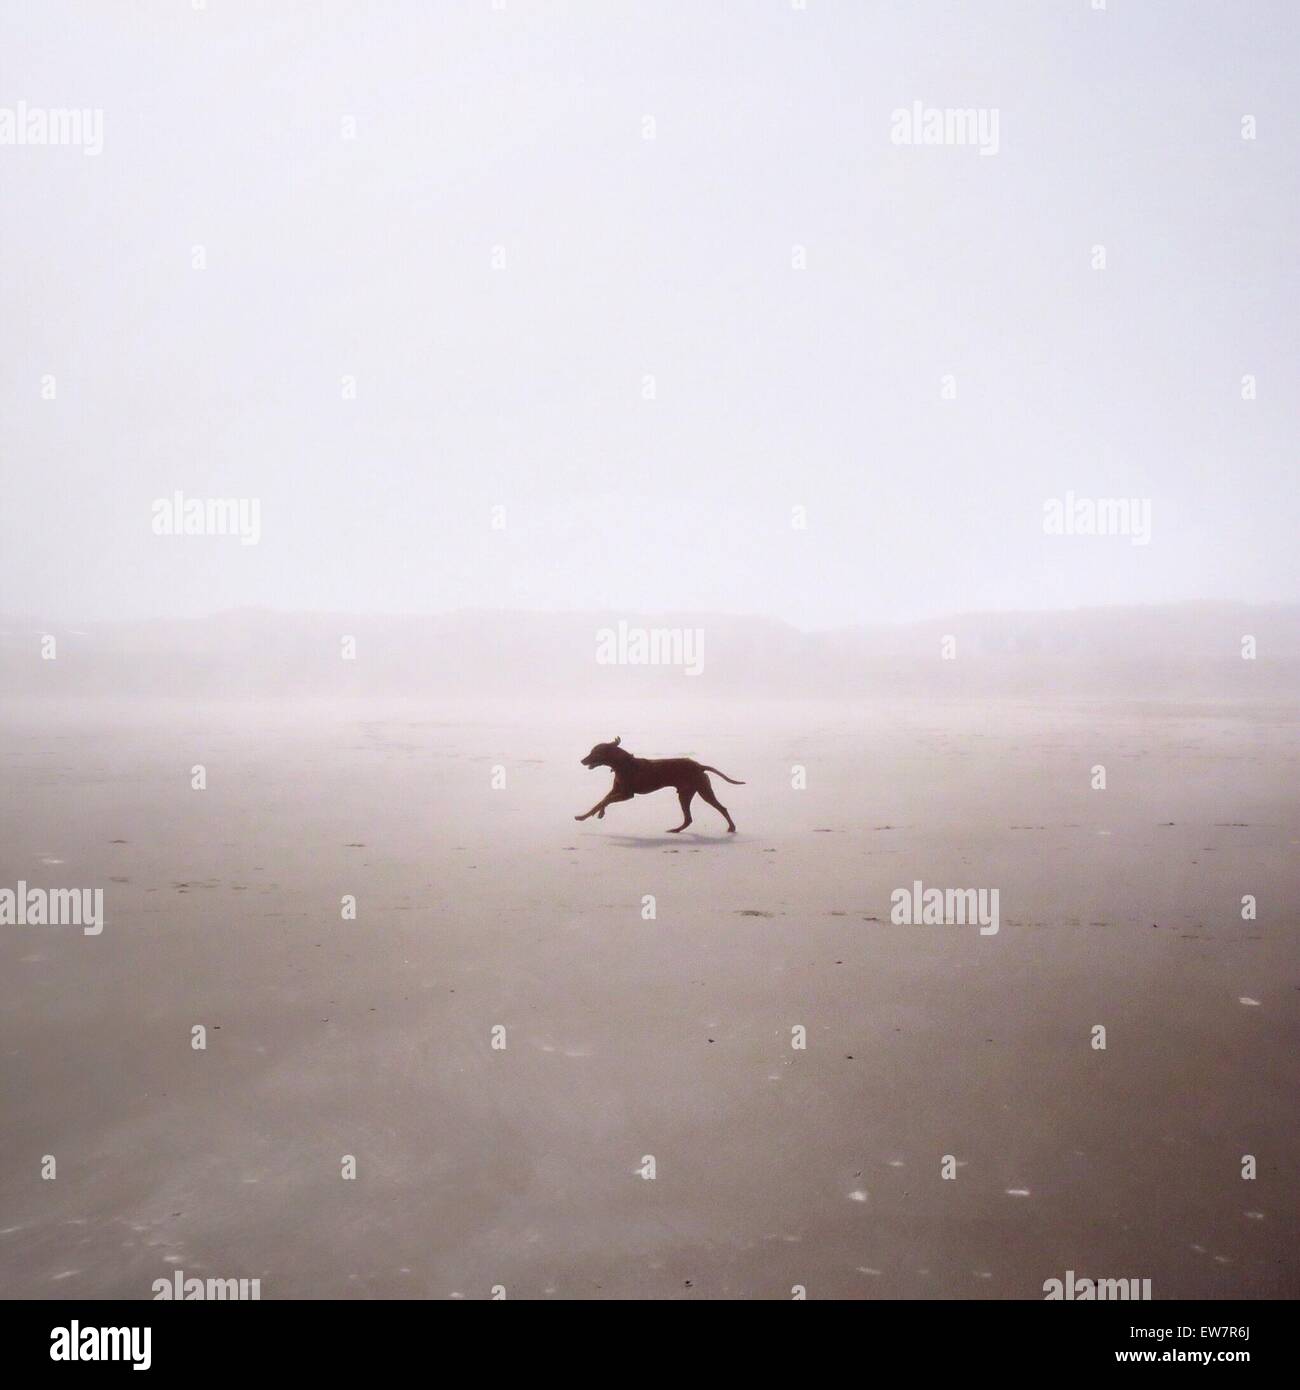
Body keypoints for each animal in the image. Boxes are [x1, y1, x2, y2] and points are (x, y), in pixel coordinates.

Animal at [575, 745, 745, 828]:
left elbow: (605, 801)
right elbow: (601, 801)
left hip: (702, 791)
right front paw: (588, 815)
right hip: (686, 793)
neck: (624, 764)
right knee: (689, 819)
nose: (582, 761)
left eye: (594, 752)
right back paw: (676, 830)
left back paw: (731, 828)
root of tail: (699, 766)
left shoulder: (627, 794)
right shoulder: (617, 790)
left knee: (721, 808)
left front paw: (595, 814)